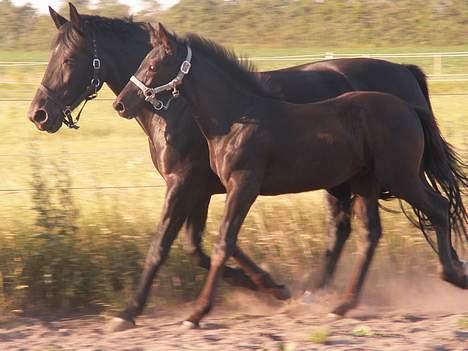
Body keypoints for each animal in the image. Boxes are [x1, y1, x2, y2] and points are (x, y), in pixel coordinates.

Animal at [28, 4, 464, 330]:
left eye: (69, 58)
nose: (39, 114)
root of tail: (406, 76)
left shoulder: (189, 183)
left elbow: (168, 245)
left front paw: (130, 312)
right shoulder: (207, 189)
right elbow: (204, 247)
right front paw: (270, 288)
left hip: (390, 177)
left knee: (420, 213)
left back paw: (445, 272)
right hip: (355, 182)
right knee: (353, 232)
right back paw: (323, 295)